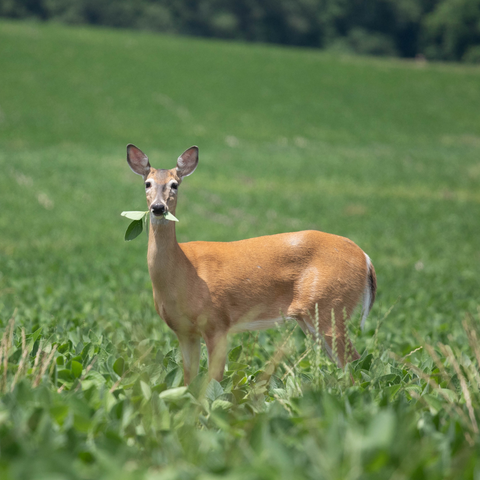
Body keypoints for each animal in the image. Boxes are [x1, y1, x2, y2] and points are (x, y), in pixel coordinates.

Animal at [125, 142, 376, 382]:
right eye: (147, 183)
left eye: (175, 185)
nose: (158, 208)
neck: (183, 271)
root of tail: (365, 258)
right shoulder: (184, 331)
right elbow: (189, 382)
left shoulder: (217, 322)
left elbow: (213, 381)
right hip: (313, 316)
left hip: (331, 307)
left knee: (355, 366)